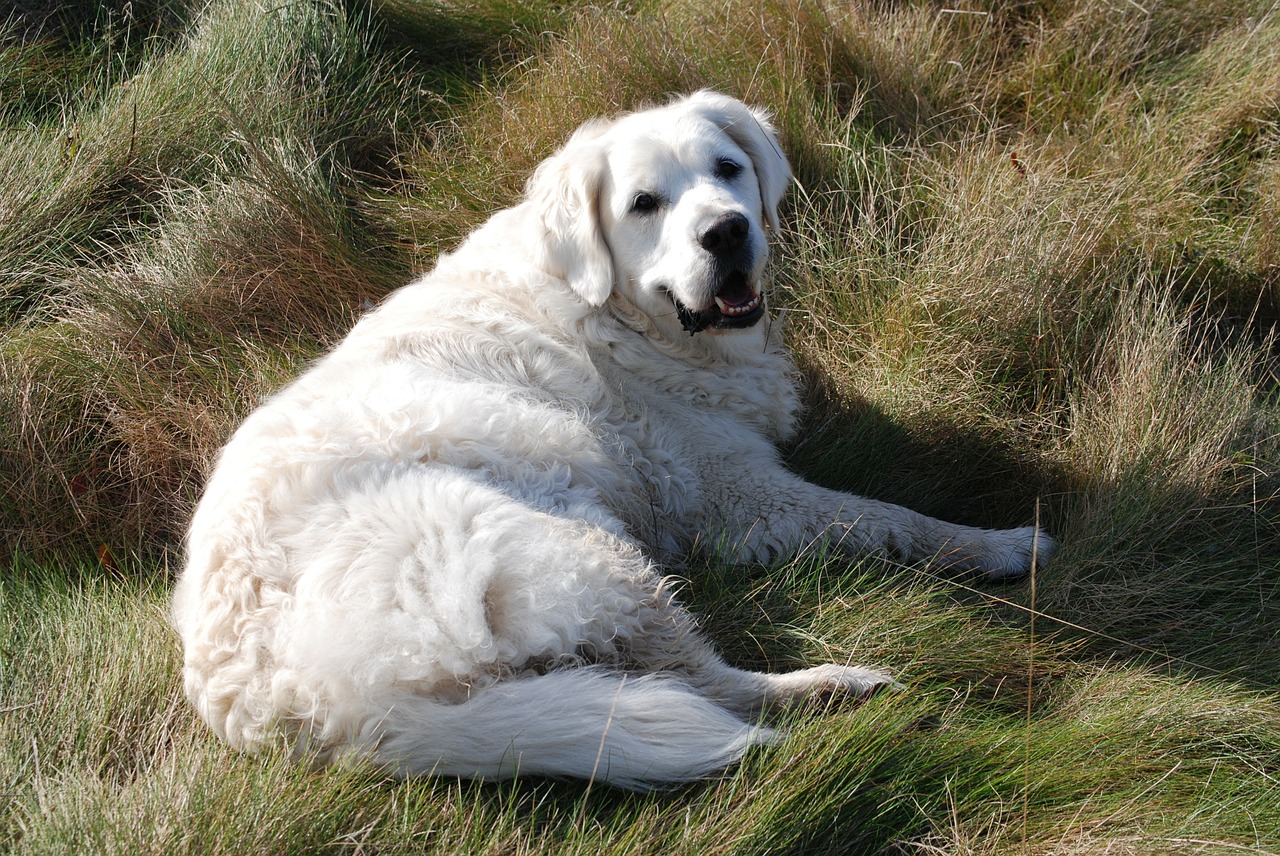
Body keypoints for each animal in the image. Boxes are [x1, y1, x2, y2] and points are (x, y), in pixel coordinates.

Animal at [167, 92, 1049, 788]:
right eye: (645, 204)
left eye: (729, 168)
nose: (728, 233)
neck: (619, 314)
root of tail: (314, 712)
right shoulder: (741, 494)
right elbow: (894, 518)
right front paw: (1000, 543)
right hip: (580, 550)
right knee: (711, 687)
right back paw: (834, 687)